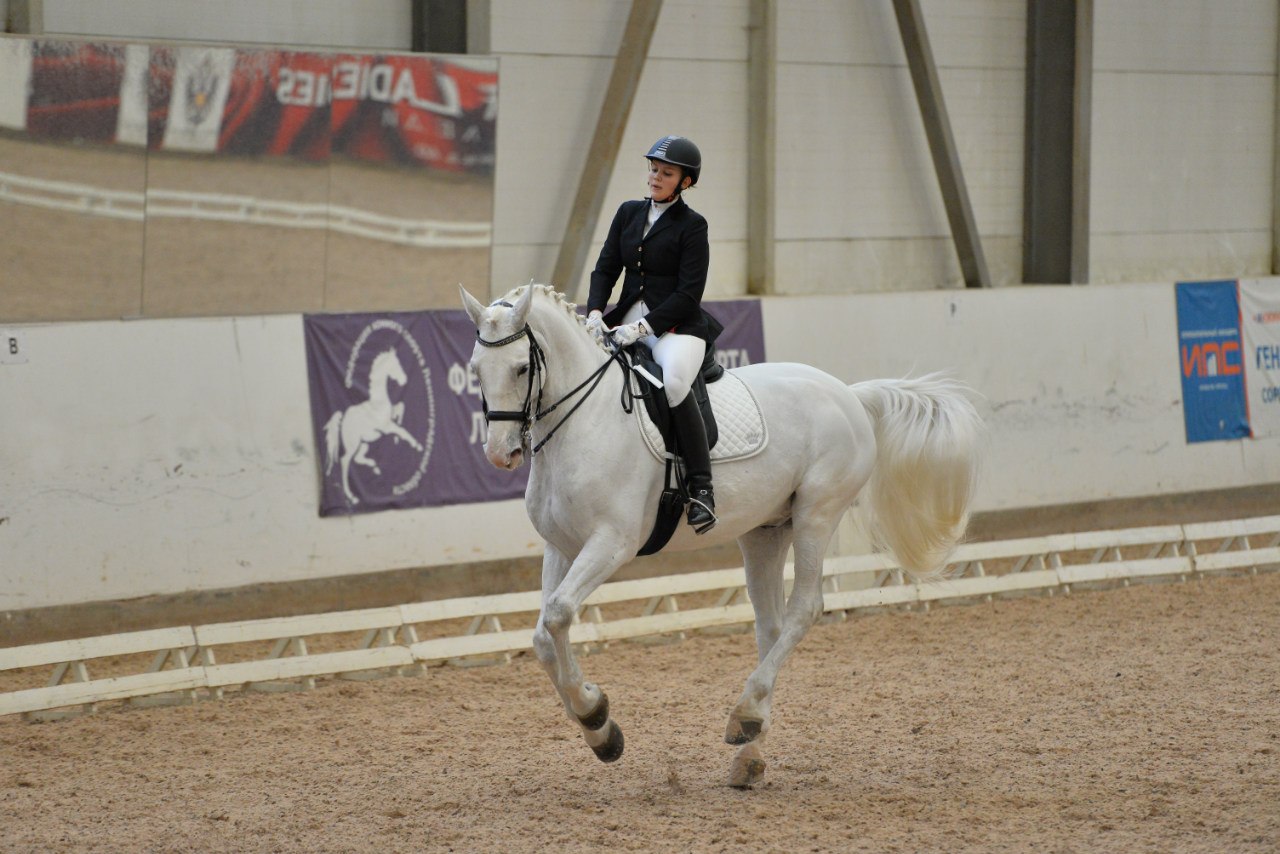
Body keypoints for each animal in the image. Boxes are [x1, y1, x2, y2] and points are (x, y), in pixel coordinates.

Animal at [322, 348, 422, 507]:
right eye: (395, 364)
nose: (404, 380)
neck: (378, 402)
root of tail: (343, 419)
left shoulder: (391, 416)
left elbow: (401, 408)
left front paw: (397, 438)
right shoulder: (386, 426)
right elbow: (402, 430)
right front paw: (416, 445)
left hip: (363, 445)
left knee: (358, 458)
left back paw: (375, 468)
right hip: (352, 446)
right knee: (345, 461)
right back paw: (352, 497)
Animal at [460, 285, 977, 788]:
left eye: (522, 366)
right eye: (476, 369)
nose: (500, 455)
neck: (586, 422)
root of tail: (848, 394)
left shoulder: (611, 542)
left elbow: (559, 613)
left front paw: (595, 714)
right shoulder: (562, 547)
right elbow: (544, 634)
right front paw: (600, 730)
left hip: (817, 514)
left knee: (804, 609)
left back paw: (744, 716)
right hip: (766, 531)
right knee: (770, 625)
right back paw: (750, 750)